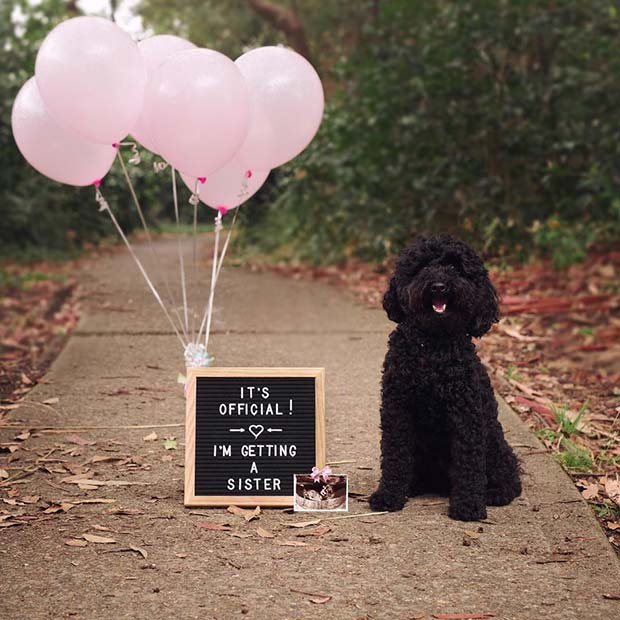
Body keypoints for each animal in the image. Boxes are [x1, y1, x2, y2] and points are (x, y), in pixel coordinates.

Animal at [370, 235, 520, 520]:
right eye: (422, 267)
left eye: (455, 267)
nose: (438, 286)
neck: (433, 346)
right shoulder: (398, 408)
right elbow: (395, 454)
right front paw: (388, 495)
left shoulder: (465, 414)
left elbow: (468, 461)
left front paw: (468, 505)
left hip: (495, 443)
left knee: (510, 478)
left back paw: (494, 492)